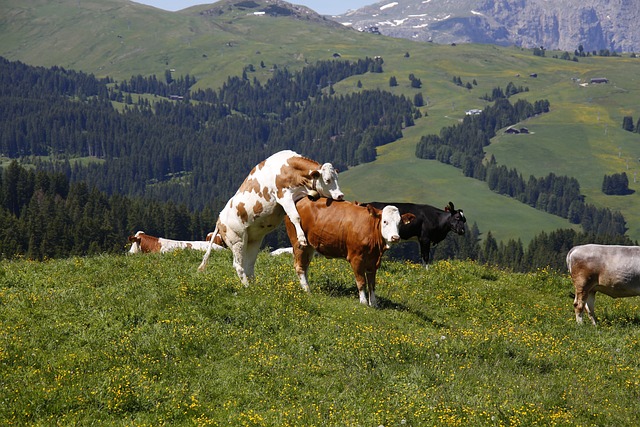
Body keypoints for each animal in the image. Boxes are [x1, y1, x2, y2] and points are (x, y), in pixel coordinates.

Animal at [199, 150, 344, 284]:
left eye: (337, 178)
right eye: (327, 180)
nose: (340, 195)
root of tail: (219, 219)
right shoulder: (283, 196)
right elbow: (295, 216)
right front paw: (302, 238)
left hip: (252, 240)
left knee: (248, 264)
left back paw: (254, 287)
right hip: (236, 240)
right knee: (238, 265)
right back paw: (247, 287)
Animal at [284, 197, 416, 308]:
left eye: (399, 223)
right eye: (385, 221)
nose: (395, 237)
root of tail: (301, 200)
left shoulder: (373, 261)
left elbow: (372, 284)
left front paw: (374, 303)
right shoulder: (356, 258)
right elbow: (361, 282)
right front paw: (363, 302)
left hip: (310, 246)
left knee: (305, 266)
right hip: (299, 243)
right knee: (299, 267)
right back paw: (307, 291)